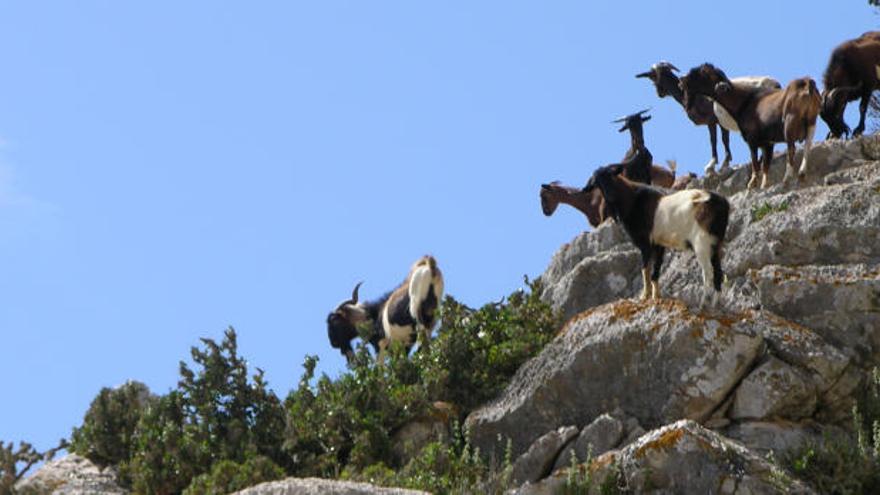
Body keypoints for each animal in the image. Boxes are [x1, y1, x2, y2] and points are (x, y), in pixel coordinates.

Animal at [584, 166, 728, 306]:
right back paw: (715, 304)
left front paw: (644, 296)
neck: (633, 201)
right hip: (716, 243)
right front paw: (656, 296)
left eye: (611, 175)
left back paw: (703, 303)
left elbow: (645, 269)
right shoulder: (659, 244)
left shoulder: (645, 244)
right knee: (718, 273)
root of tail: (722, 203)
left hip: (702, 243)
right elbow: (655, 272)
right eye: (597, 182)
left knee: (708, 272)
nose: (610, 196)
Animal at [680, 64, 820, 190]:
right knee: (807, 145)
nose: (681, 80)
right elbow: (765, 165)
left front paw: (752, 183)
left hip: (790, 123)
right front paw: (764, 185)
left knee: (791, 149)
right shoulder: (767, 143)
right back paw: (801, 174)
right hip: (812, 121)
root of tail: (807, 83)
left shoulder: (752, 140)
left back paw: (786, 179)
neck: (744, 101)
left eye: (700, 72)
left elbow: (754, 161)